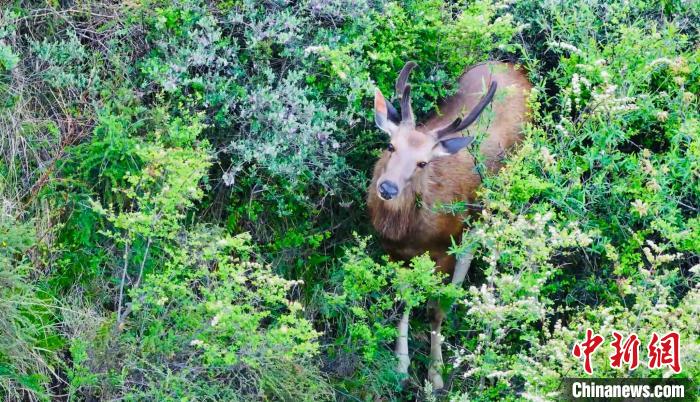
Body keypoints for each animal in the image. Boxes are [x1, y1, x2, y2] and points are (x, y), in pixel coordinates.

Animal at [367, 60, 531, 390]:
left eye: (423, 163)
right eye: (391, 146)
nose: (388, 188)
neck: (408, 233)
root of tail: (513, 66)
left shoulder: (444, 250)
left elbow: (435, 309)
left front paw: (435, 374)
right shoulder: (391, 250)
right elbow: (404, 298)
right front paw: (401, 365)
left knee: (484, 247)